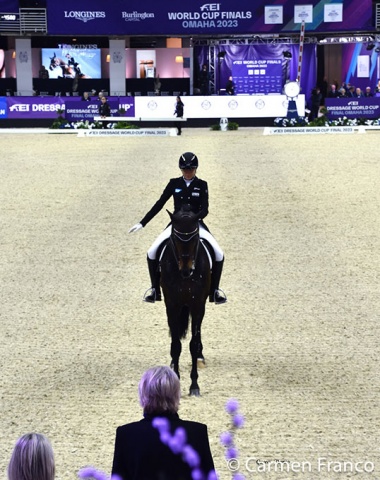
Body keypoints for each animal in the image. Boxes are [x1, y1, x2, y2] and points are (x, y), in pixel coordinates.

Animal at [157, 208, 211, 396]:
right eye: (174, 237)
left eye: (195, 238)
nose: (186, 270)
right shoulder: (172, 305)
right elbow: (176, 345)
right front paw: (176, 380)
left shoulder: (197, 306)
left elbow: (193, 345)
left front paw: (194, 385)